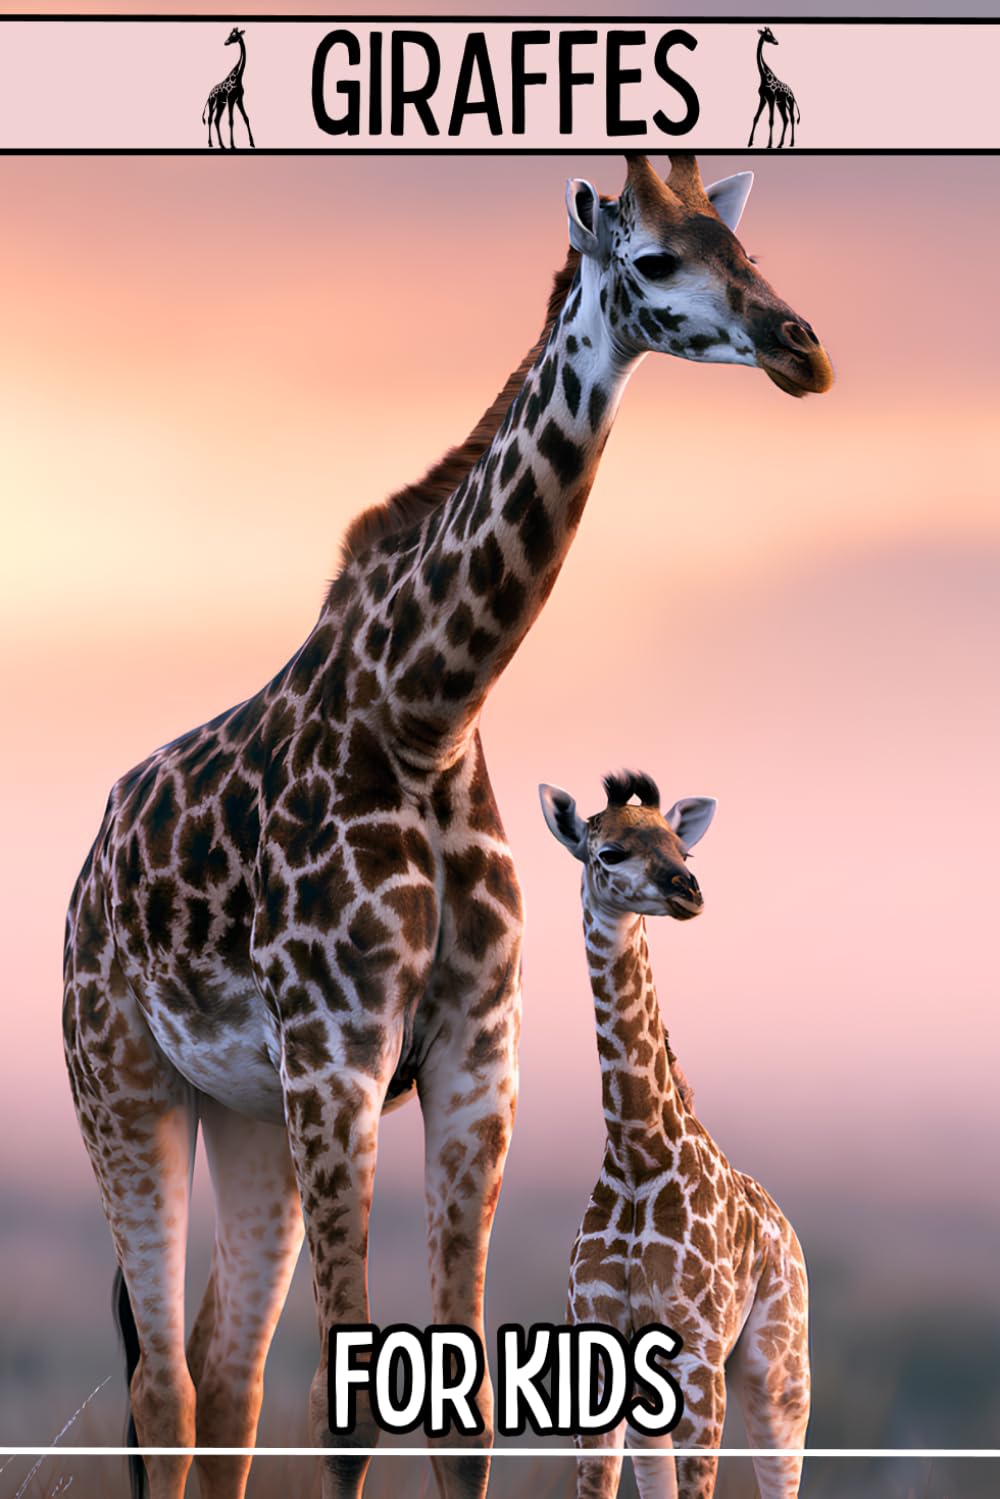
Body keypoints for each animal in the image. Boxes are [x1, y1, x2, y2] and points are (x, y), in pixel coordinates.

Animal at [539, 771, 810, 1499]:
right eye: (609, 852)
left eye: (682, 851)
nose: (688, 891)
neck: (638, 1153)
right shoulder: (599, 1349)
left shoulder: (698, 1350)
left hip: (778, 1363)